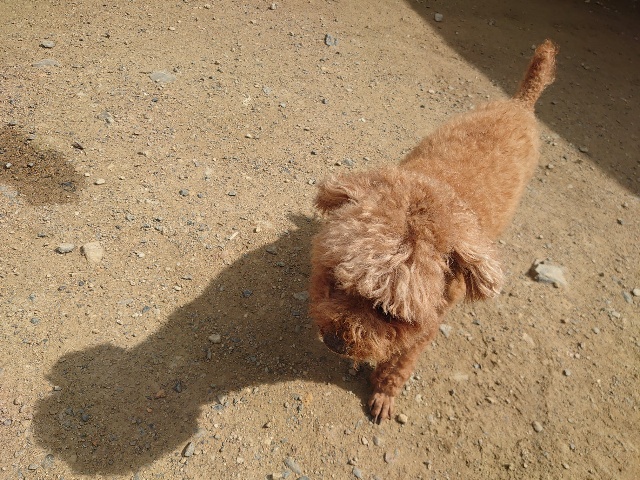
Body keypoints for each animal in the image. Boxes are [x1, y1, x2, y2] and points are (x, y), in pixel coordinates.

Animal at [309, 40, 557, 422]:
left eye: (389, 314)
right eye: (336, 281)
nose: (335, 343)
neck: (435, 192)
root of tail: (519, 103)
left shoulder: (429, 322)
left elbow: (402, 359)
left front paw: (384, 391)